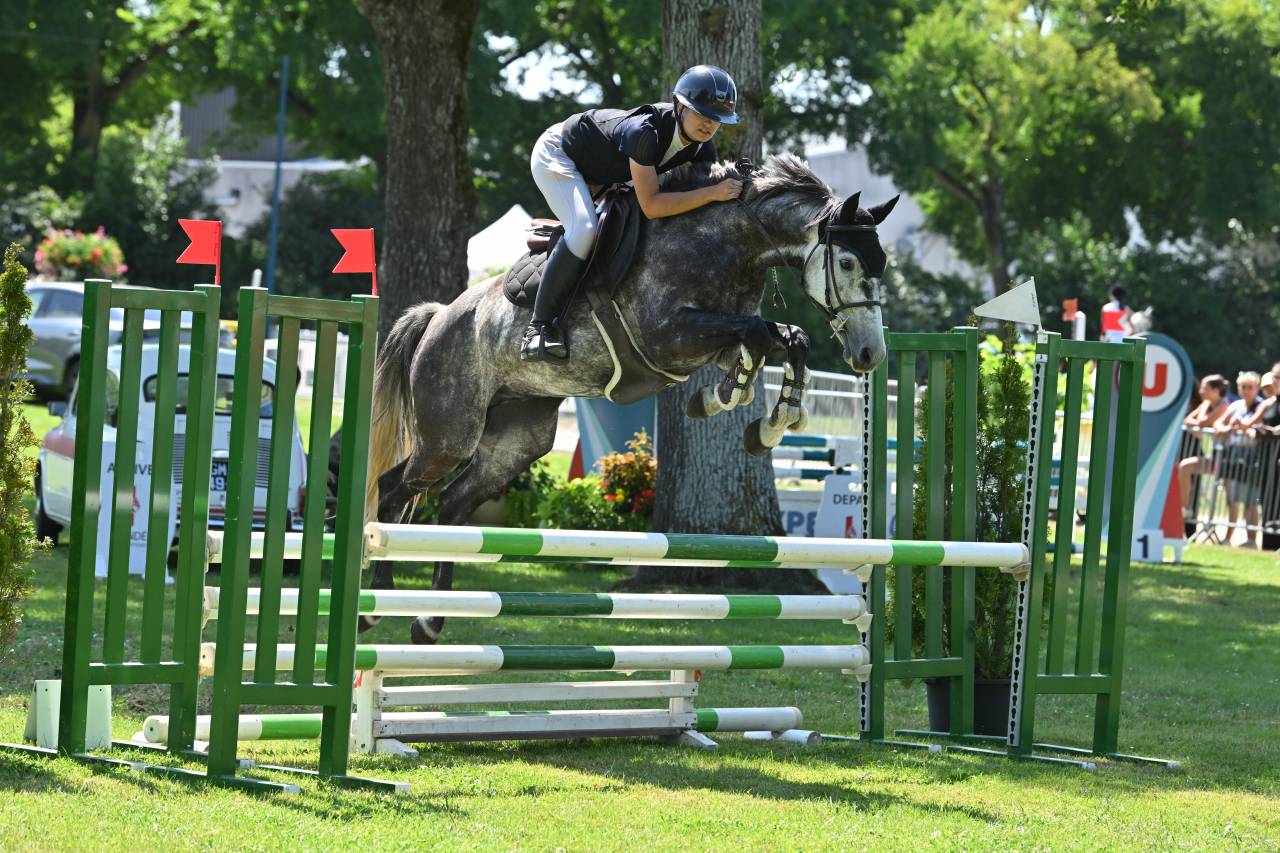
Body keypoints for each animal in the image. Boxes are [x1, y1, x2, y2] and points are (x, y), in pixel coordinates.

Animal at [363, 154, 898, 643]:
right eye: (847, 262)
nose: (870, 354)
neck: (725, 244)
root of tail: (437, 316)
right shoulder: (669, 337)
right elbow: (757, 334)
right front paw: (731, 399)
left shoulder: (711, 342)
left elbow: (785, 338)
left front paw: (766, 417)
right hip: (451, 432)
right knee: (395, 491)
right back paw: (376, 604)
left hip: (516, 439)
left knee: (451, 504)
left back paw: (428, 622)